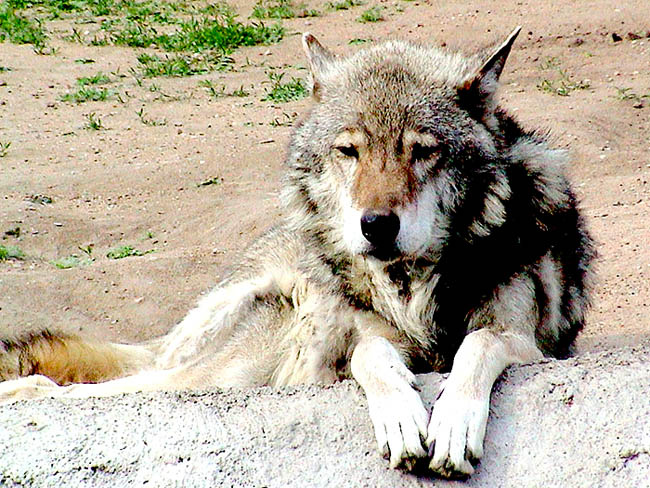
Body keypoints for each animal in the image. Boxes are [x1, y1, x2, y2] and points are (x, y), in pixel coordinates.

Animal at [0, 27, 594, 478]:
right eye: (349, 151)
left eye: (423, 151)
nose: (376, 225)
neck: (412, 285)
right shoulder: (364, 342)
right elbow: (370, 356)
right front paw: (401, 416)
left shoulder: (526, 340)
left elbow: (476, 346)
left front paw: (452, 423)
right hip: (232, 364)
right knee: (100, 386)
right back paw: (25, 392)